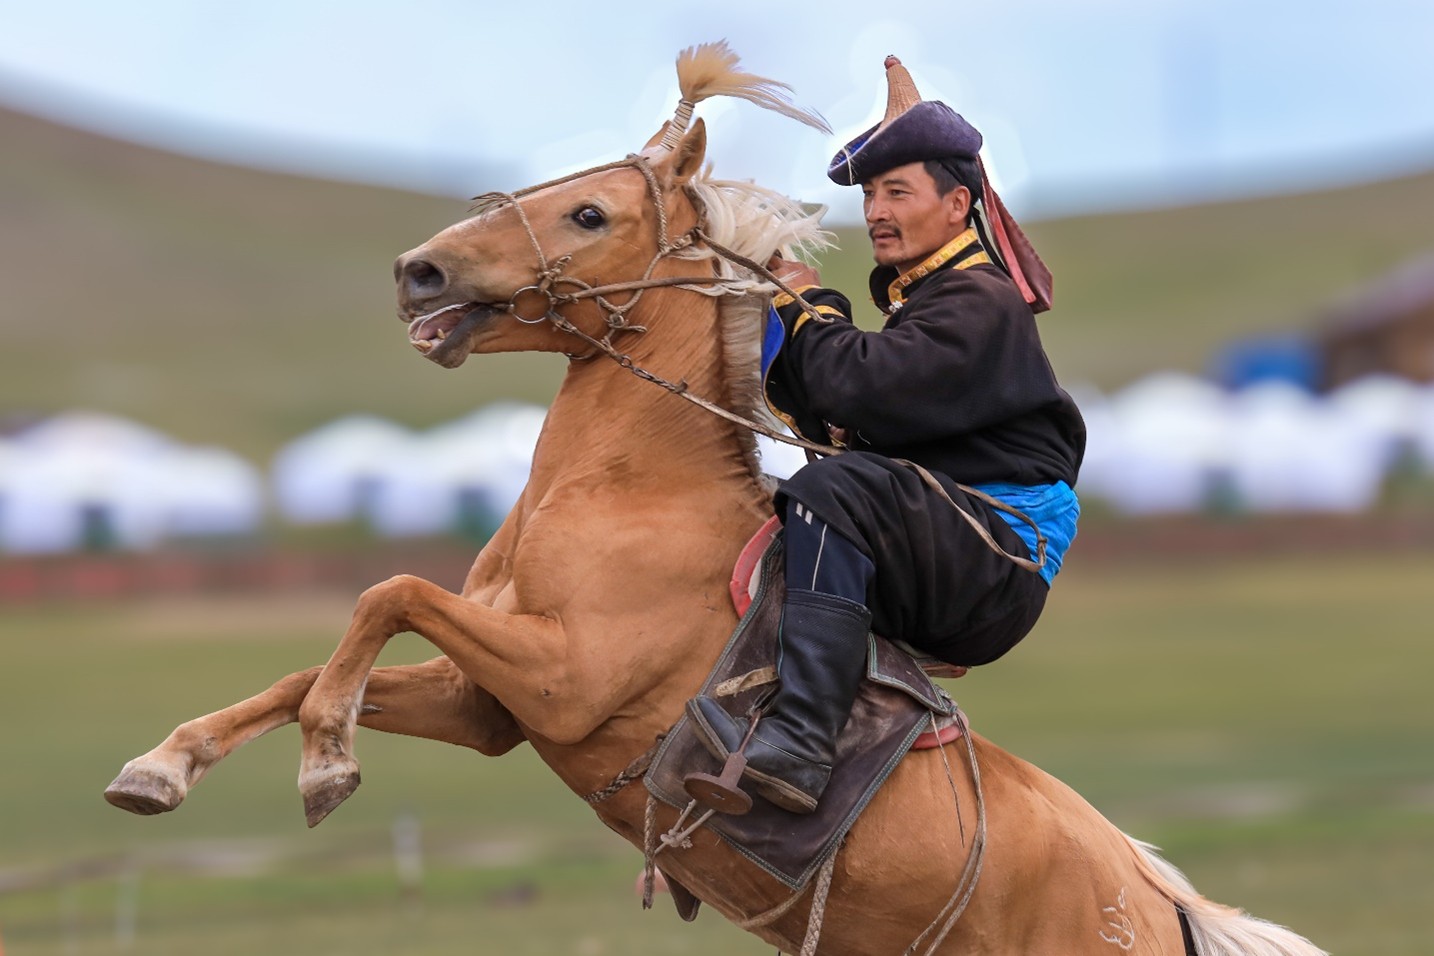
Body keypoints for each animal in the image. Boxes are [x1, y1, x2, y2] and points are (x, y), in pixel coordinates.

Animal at [105, 43, 1327, 956]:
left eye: (591, 215)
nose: (419, 272)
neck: (625, 494)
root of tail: (1158, 904)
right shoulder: (488, 704)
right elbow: (316, 666)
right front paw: (163, 767)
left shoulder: (558, 680)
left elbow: (386, 591)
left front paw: (325, 762)